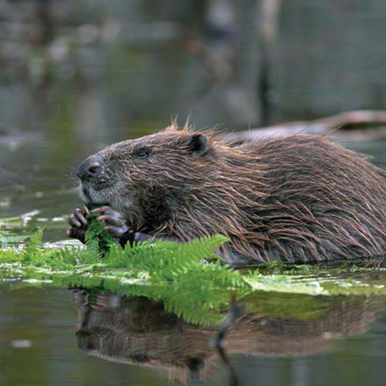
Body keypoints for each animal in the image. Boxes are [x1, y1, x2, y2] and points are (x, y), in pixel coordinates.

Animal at [68, 124, 386, 266]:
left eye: (142, 153)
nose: (85, 169)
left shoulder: (216, 207)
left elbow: (203, 246)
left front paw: (116, 223)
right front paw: (79, 221)